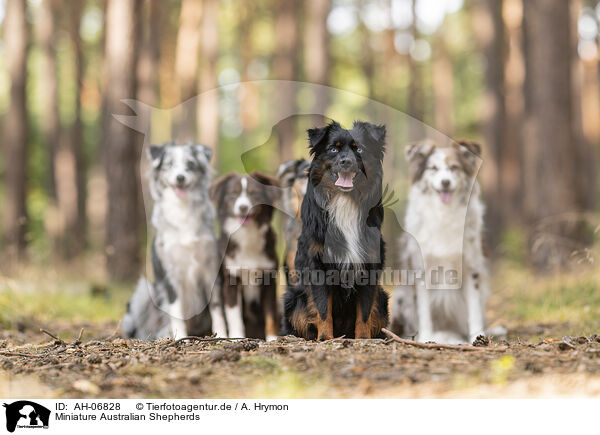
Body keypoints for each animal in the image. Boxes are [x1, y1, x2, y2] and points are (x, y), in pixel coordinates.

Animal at [122, 143, 227, 340]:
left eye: (190, 164)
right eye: (169, 164)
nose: (180, 178)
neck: (182, 209)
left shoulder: (210, 270)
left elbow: (218, 310)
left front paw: (223, 335)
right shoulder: (171, 275)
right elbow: (176, 312)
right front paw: (180, 338)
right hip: (144, 291)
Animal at [211, 172, 282, 342]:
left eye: (254, 194)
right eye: (233, 195)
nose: (243, 207)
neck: (247, 237)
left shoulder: (269, 280)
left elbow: (271, 314)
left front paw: (272, 338)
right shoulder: (231, 280)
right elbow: (234, 315)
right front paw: (237, 338)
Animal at [282, 122, 390, 340]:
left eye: (359, 149)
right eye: (333, 149)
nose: (346, 162)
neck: (345, 199)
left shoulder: (369, 263)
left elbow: (365, 310)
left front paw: (363, 339)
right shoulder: (317, 263)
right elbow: (323, 308)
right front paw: (325, 339)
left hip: (383, 299)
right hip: (293, 297)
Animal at [392, 140, 504, 344]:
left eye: (454, 167)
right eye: (433, 168)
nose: (445, 182)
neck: (444, 213)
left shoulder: (472, 268)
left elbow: (474, 310)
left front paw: (476, 338)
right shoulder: (420, 269)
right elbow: (424, 311)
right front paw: (425, 338)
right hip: (402, 297)